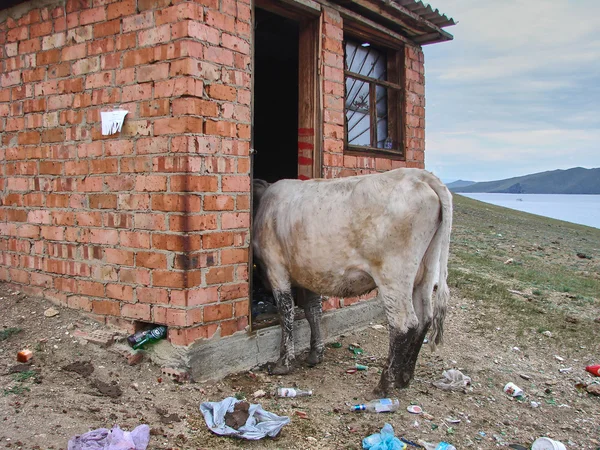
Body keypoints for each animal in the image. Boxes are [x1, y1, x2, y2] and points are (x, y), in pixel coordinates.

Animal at [251, 168, 452, 394]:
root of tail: (418, 174)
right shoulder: (309, 272)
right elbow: (313, 311)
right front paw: (315, 354)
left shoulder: (276, 269)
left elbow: (286, 313)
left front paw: (283, 363)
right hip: (425, 272)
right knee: (425, 318)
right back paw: (405, 377)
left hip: (394, 274)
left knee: (404, 324)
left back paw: (385, 383)